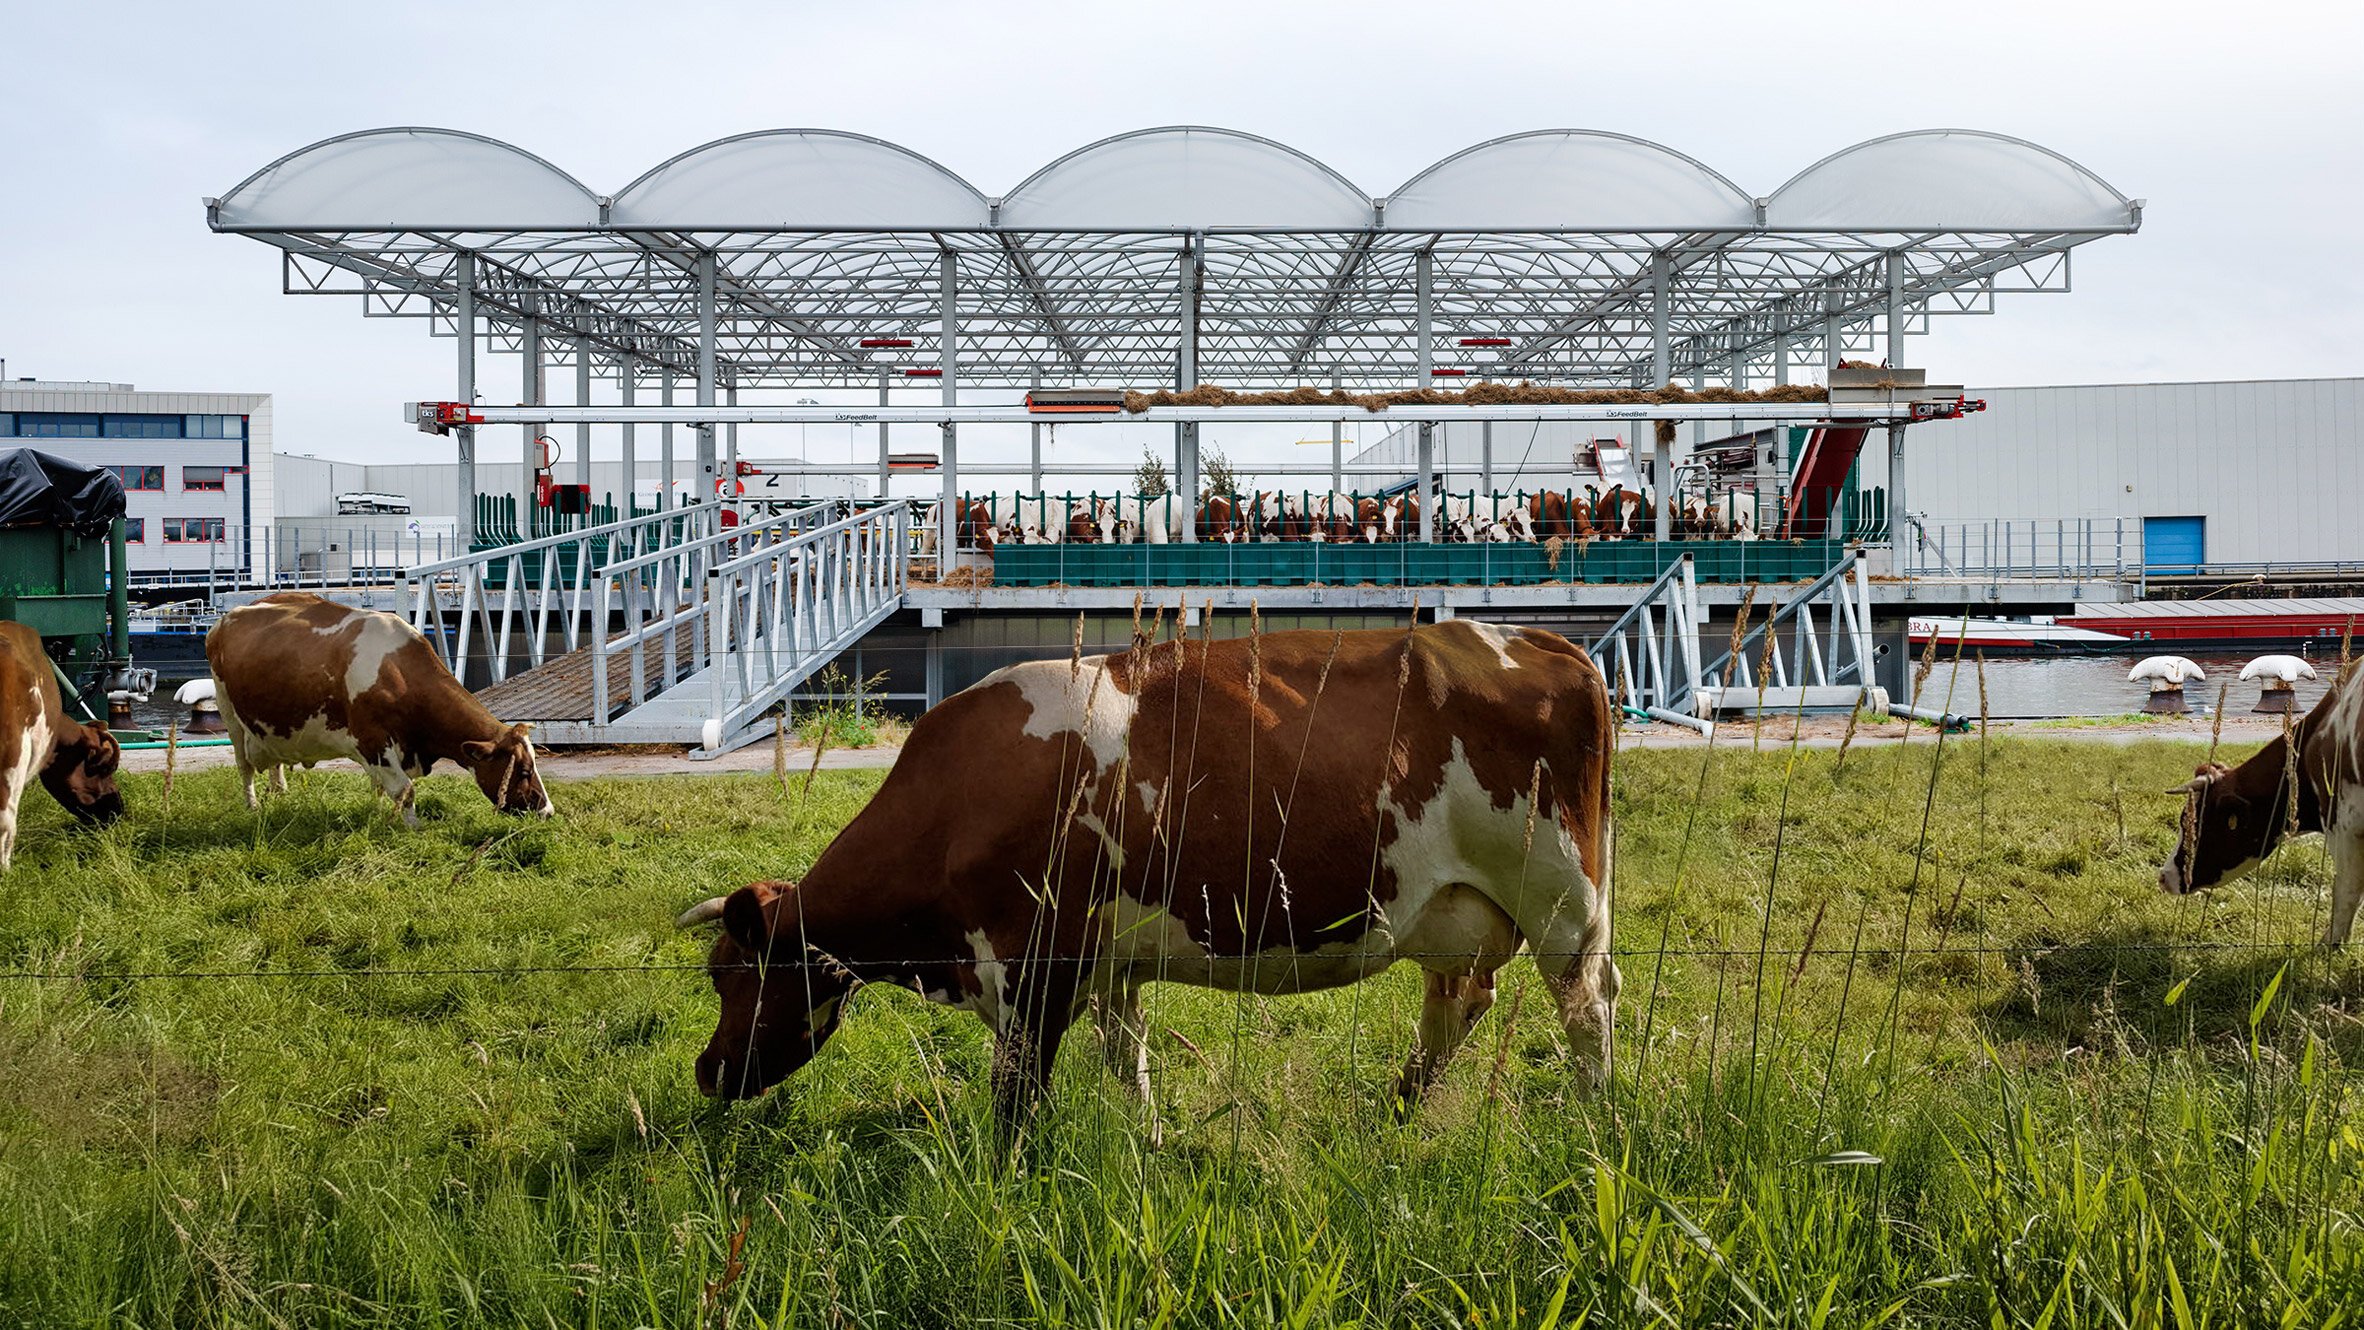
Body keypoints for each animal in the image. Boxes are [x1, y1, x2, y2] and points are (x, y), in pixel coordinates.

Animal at [204, 595, 553, 831]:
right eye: (524, 771)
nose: (548, 811)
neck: (398, 672)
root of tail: (224, 619)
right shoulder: (372, 741)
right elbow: (405, 790)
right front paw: (413, 828)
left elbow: (381, 789)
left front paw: (378, 815)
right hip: (230, 716)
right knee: (244, 767)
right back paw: (253, 806)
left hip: (269, 727)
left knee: (274, 763)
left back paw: (280, 796)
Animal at [676, 623, 1616, 1133]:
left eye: (731, 975)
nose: (706, 1071)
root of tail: (1540, 641)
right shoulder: (1108, 964)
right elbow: (1126, 1061)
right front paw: (1150, 1144)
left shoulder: (1035, 965)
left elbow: (1017, 1101)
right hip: (1454, 911)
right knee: (1455, 1003)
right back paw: (1396, 1111)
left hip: (1561, 899)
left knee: (1586, 1006)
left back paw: (1592, 1124)